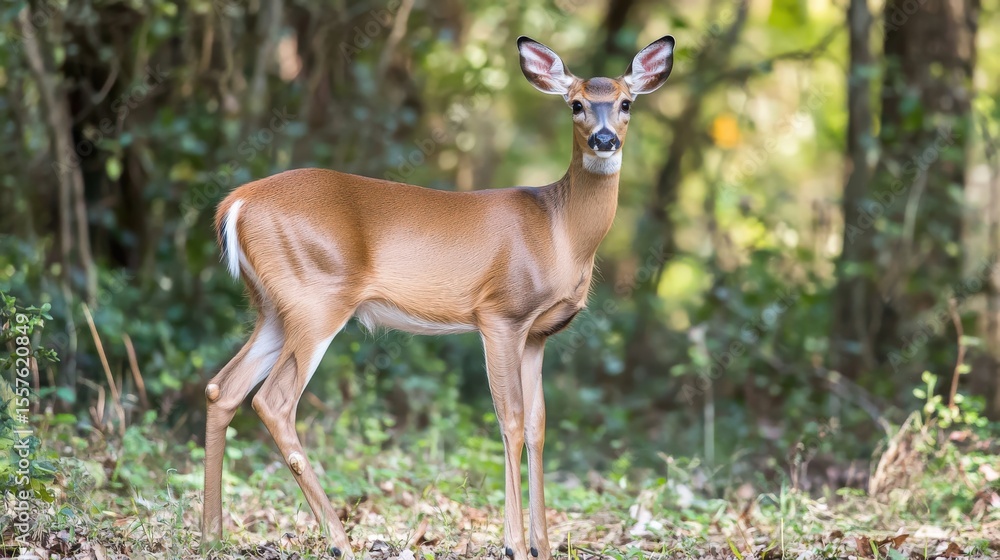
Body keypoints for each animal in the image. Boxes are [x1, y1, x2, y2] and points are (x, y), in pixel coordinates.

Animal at [202, 34, 674, 560]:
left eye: (626, 102)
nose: (605, 140)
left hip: (272, 308)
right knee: (273, 401)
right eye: (576, 104)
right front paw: (513, 544)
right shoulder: (500, 314)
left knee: (222, 388)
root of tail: (235, 204)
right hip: (316, 298)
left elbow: (537, 425)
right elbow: (510, 419)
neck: (561, 231)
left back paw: (211, 534)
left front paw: (542, 547)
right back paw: (340, 541)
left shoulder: (538, 334)